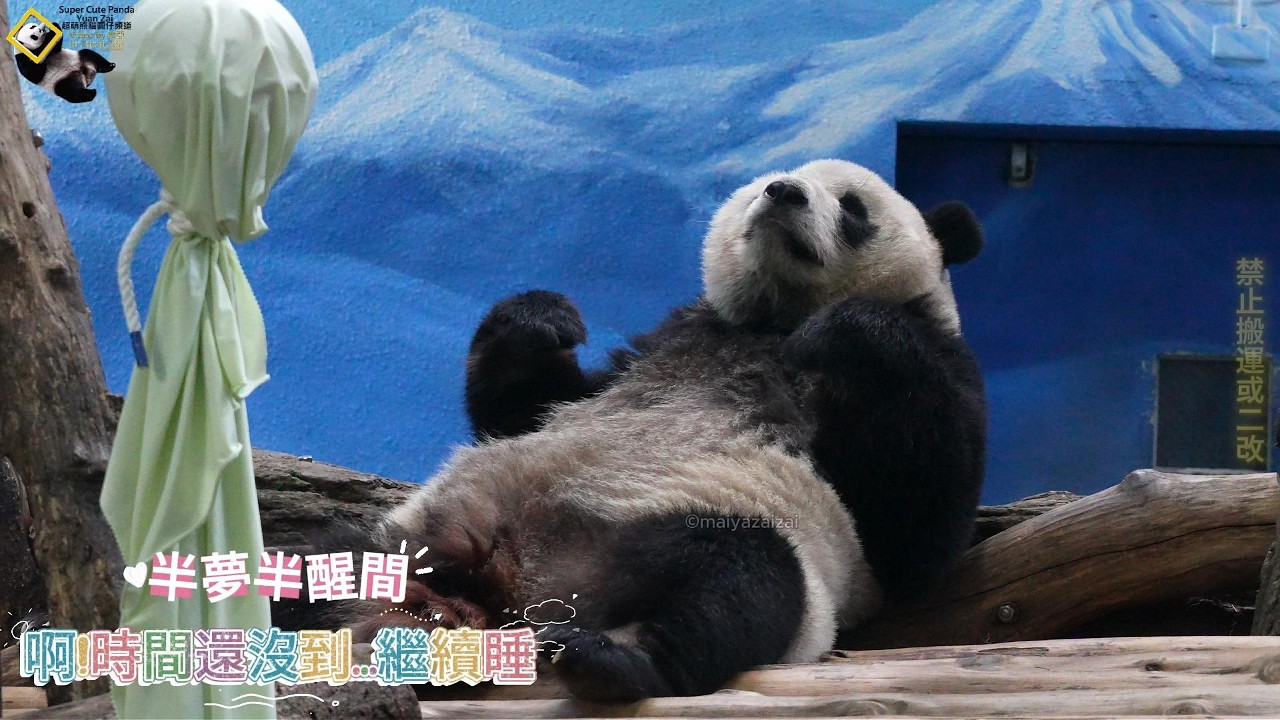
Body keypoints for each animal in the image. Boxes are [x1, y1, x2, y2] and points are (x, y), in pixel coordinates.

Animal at [284, 159, 986, 702]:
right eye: (769, 180)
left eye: (852, 206)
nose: (783, 192)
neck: (773, 318)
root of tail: (509, 601)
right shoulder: (663, 340)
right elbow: (525, 407)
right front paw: (544, 320)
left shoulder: (934, 370)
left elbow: (915, 530)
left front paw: (846, 328)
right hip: (417, 539)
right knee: (316, 558)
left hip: (693, 524)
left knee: (736, 580)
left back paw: (614, 660)